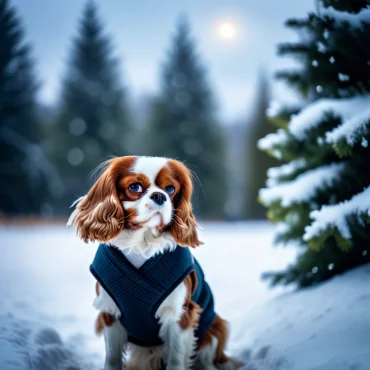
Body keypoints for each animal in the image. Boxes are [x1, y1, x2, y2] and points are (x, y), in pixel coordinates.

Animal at [68, 156, 243, 370]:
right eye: (134, 187)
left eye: (170, 189)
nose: (160, 196)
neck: (142, 243)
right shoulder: (110, 314)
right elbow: (112, 358)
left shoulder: (180, 315)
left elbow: (176, 359)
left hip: (215, 327)